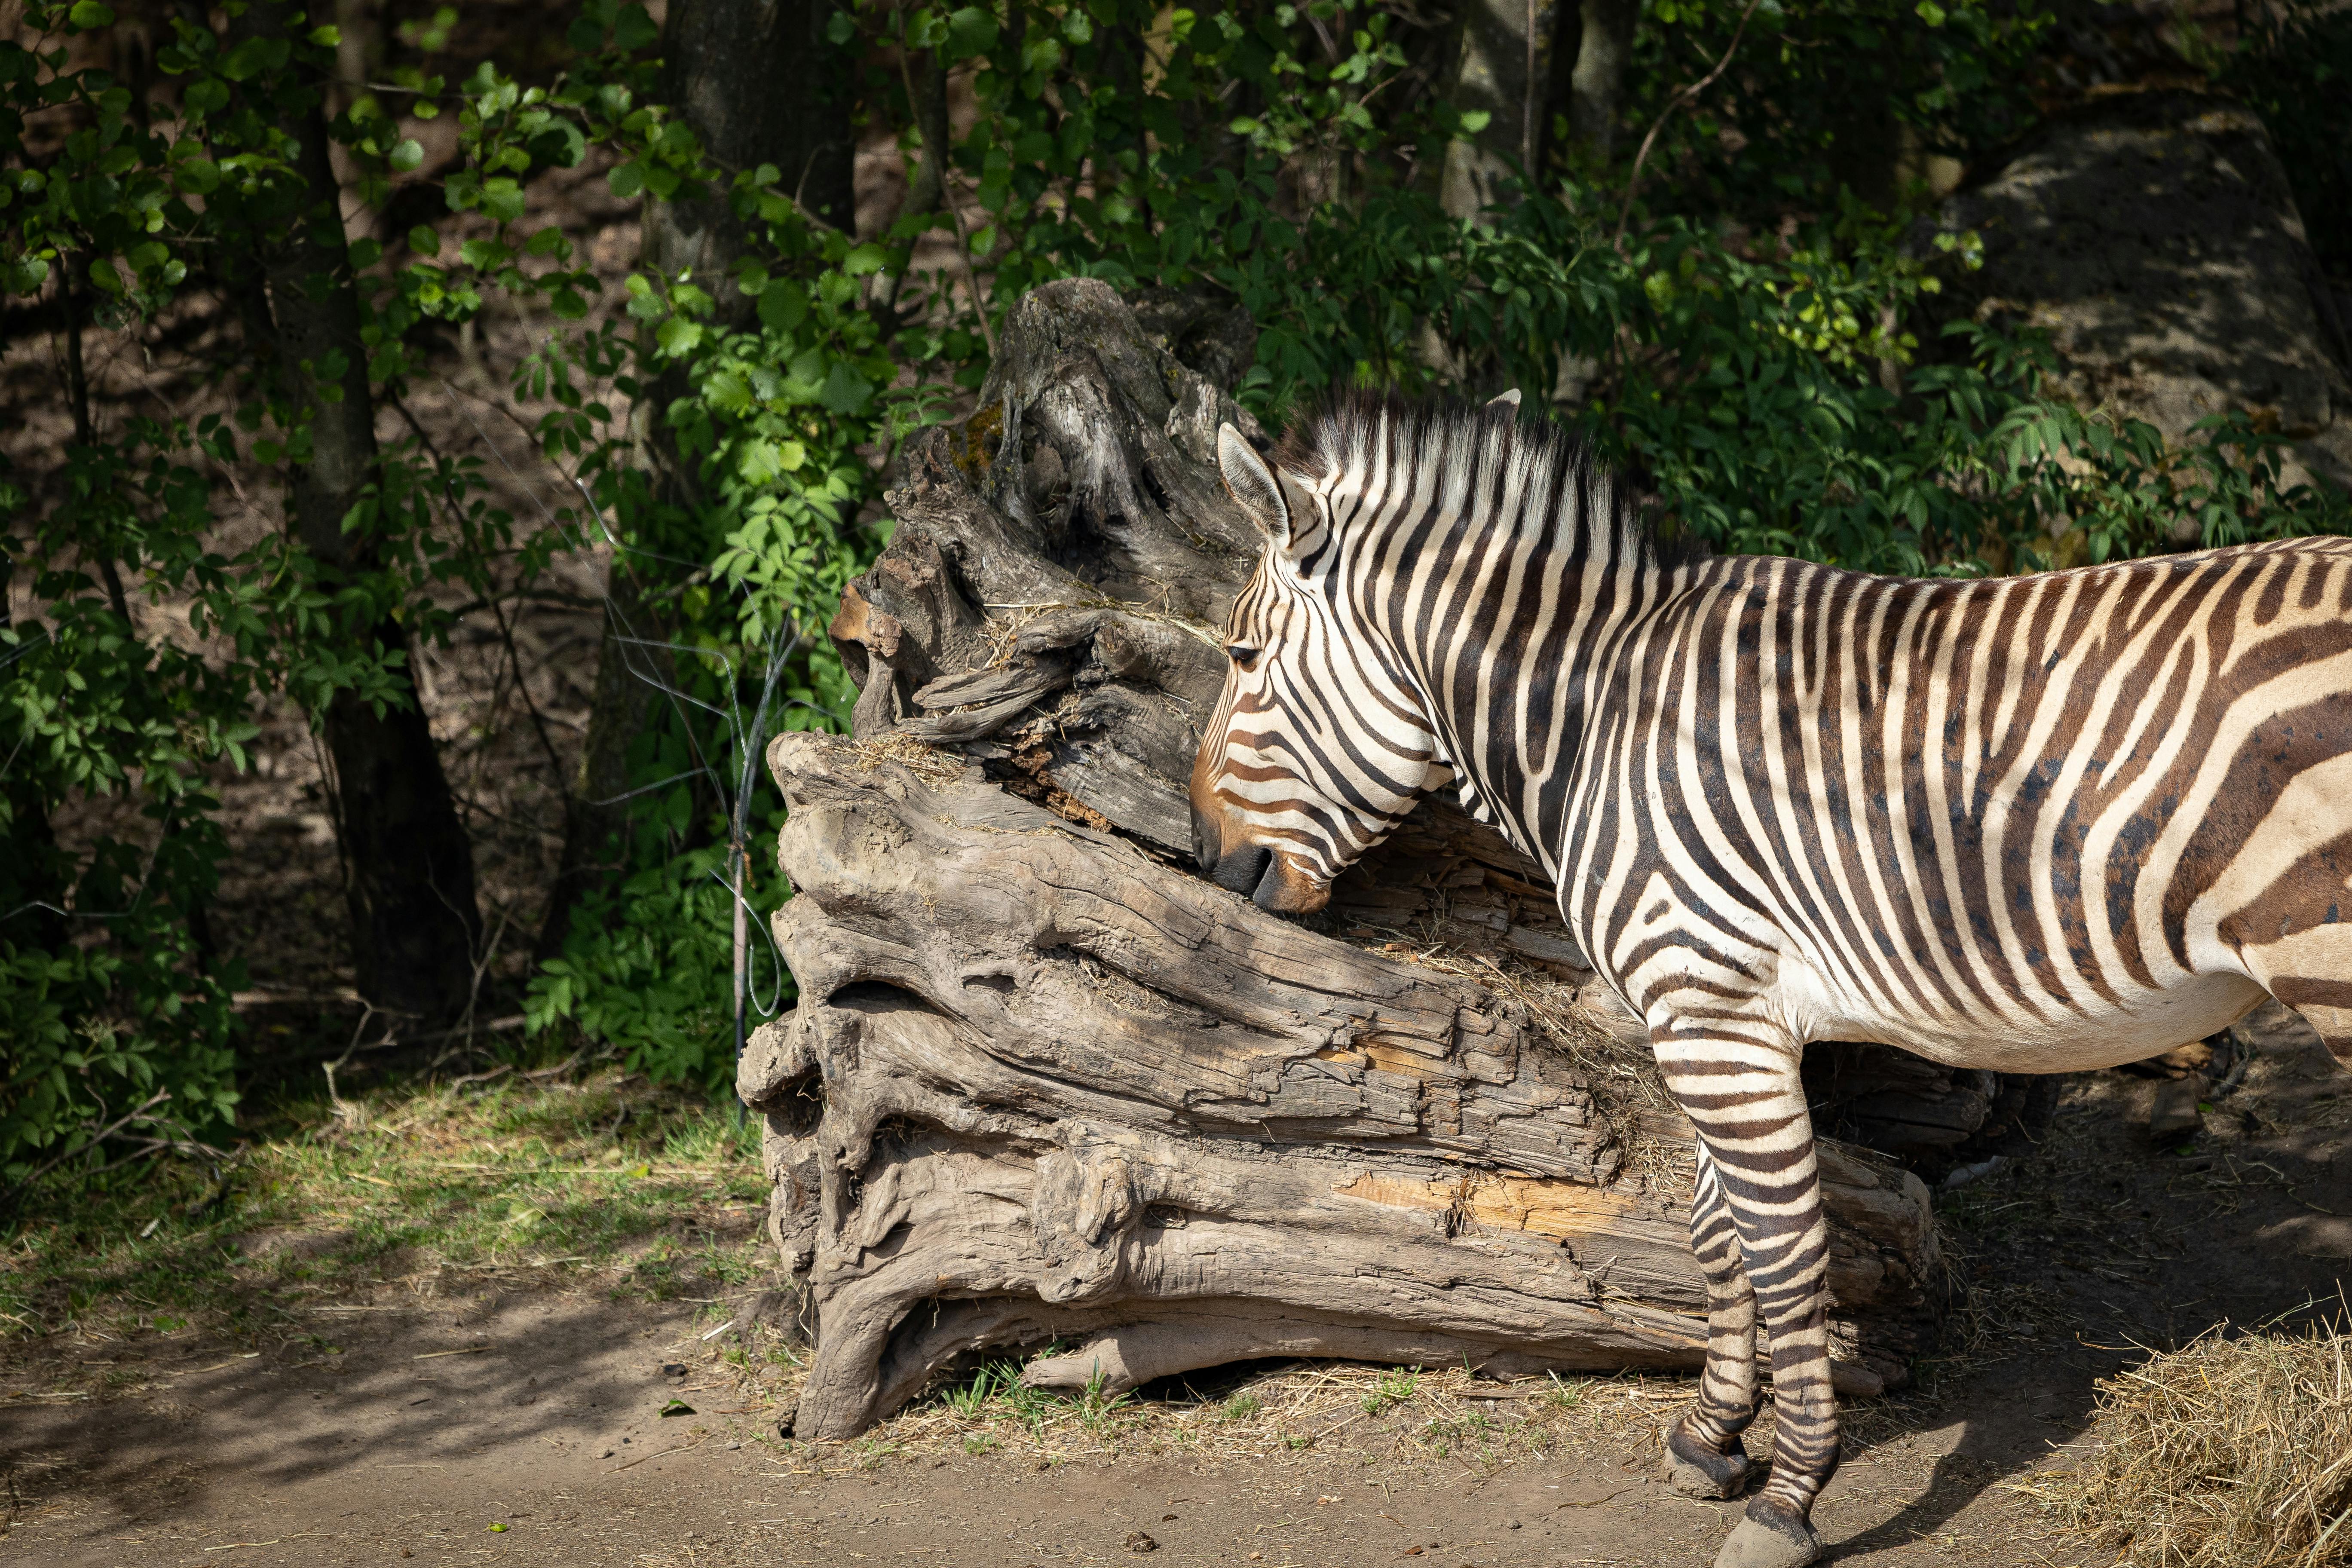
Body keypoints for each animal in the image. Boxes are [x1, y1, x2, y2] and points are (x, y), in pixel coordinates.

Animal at [1185, 390, 2352, 1568]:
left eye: (1239, 653)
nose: (1205, 859)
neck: (1597, 715)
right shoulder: (1715, 1013)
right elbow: (1719, 1238)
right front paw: (1711, 1438)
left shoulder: (1707, 1007)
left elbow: (1786, 1252)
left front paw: (1788, 1499)